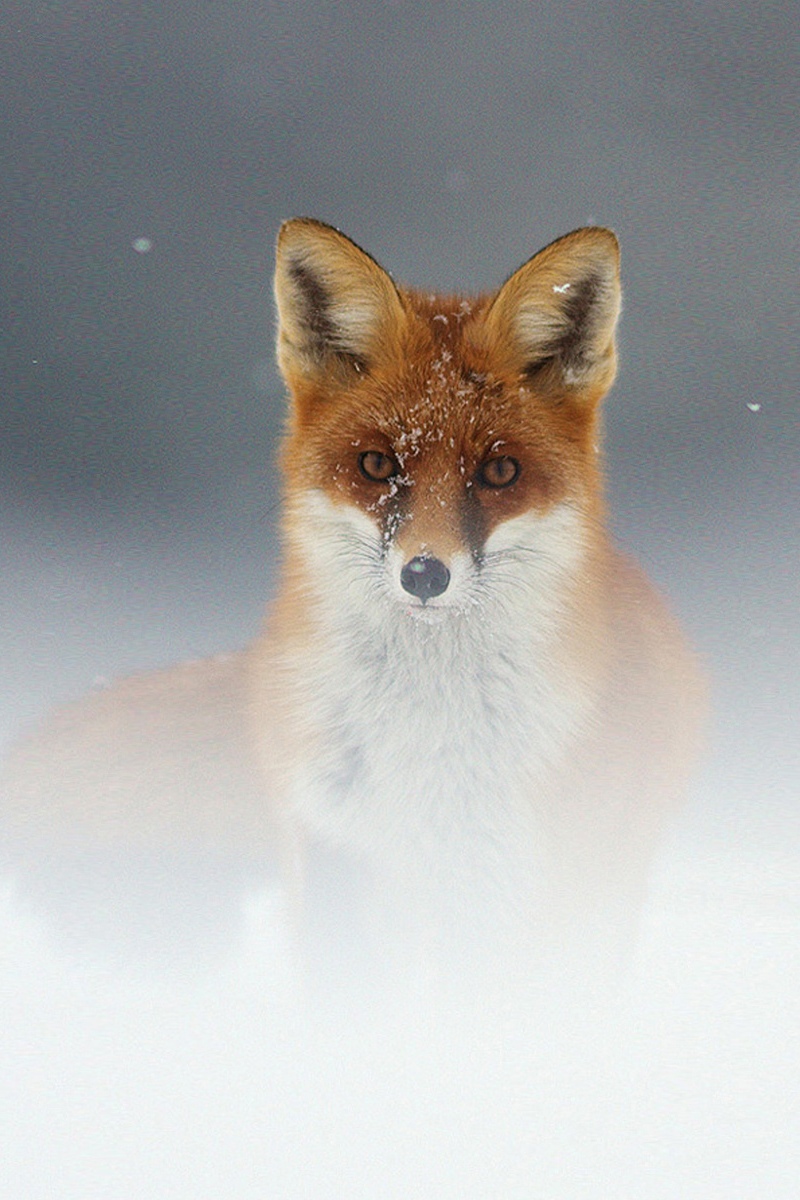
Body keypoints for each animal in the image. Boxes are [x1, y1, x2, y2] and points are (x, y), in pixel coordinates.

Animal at [2, 219, 705, 989]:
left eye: (498, 471)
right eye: (377, 465)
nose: (424, 574)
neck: (427, 741)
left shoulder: (511, 893)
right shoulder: (337, 854)